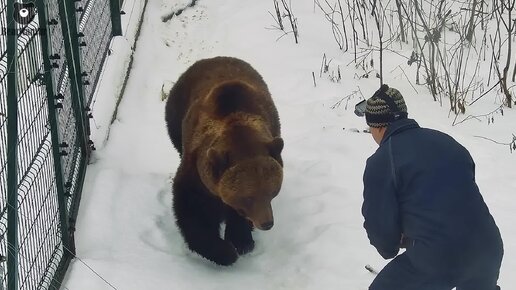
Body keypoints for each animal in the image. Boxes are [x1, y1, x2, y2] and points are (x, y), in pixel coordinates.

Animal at [165, 56, 284, 266]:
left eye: (272, 191)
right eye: (248, 197)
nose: (267, 223)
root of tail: (211, 59)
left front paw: (242, 241)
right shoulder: (196, 176)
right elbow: (192, 212)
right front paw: (224, 252)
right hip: (175, 117)